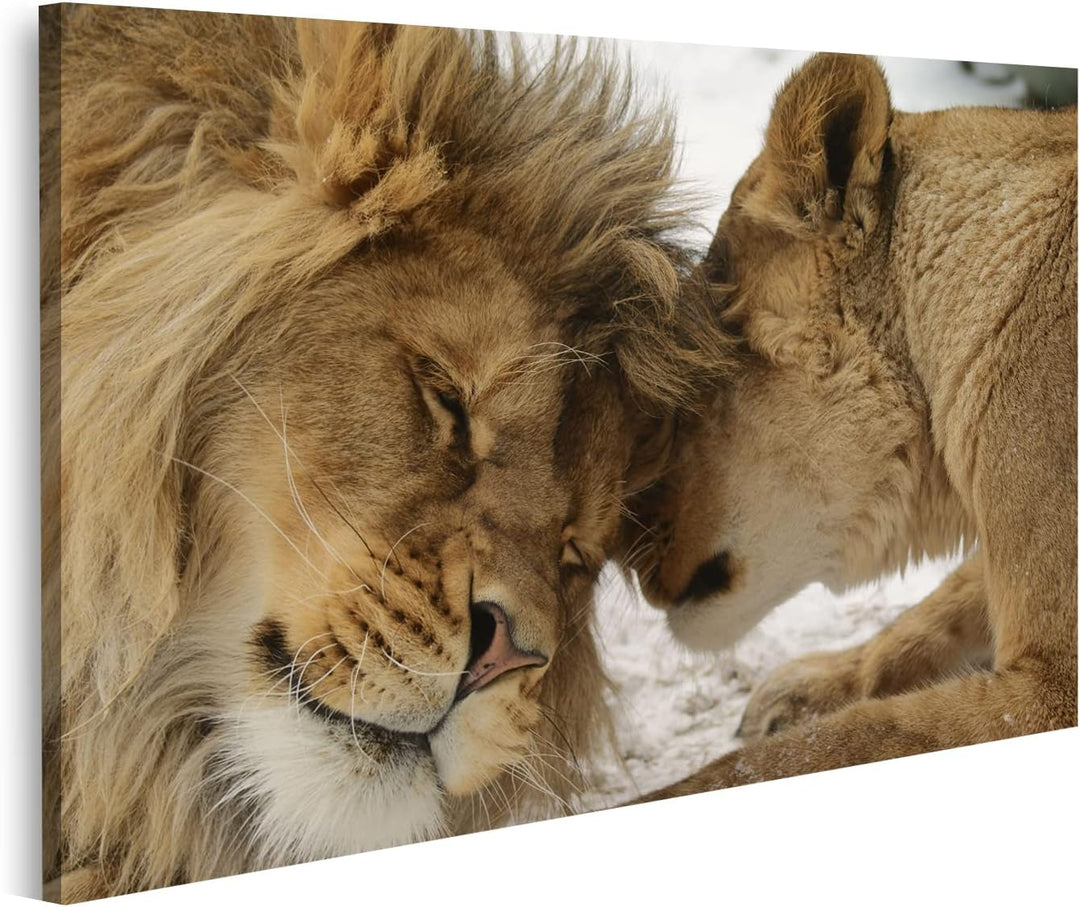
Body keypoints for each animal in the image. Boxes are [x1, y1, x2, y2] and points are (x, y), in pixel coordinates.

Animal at [622, 52, 1077, 798]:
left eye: (684, 392)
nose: (613, 549)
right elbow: (931, 613)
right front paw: (806, 687)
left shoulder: (1052, 689)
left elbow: (843, 743)